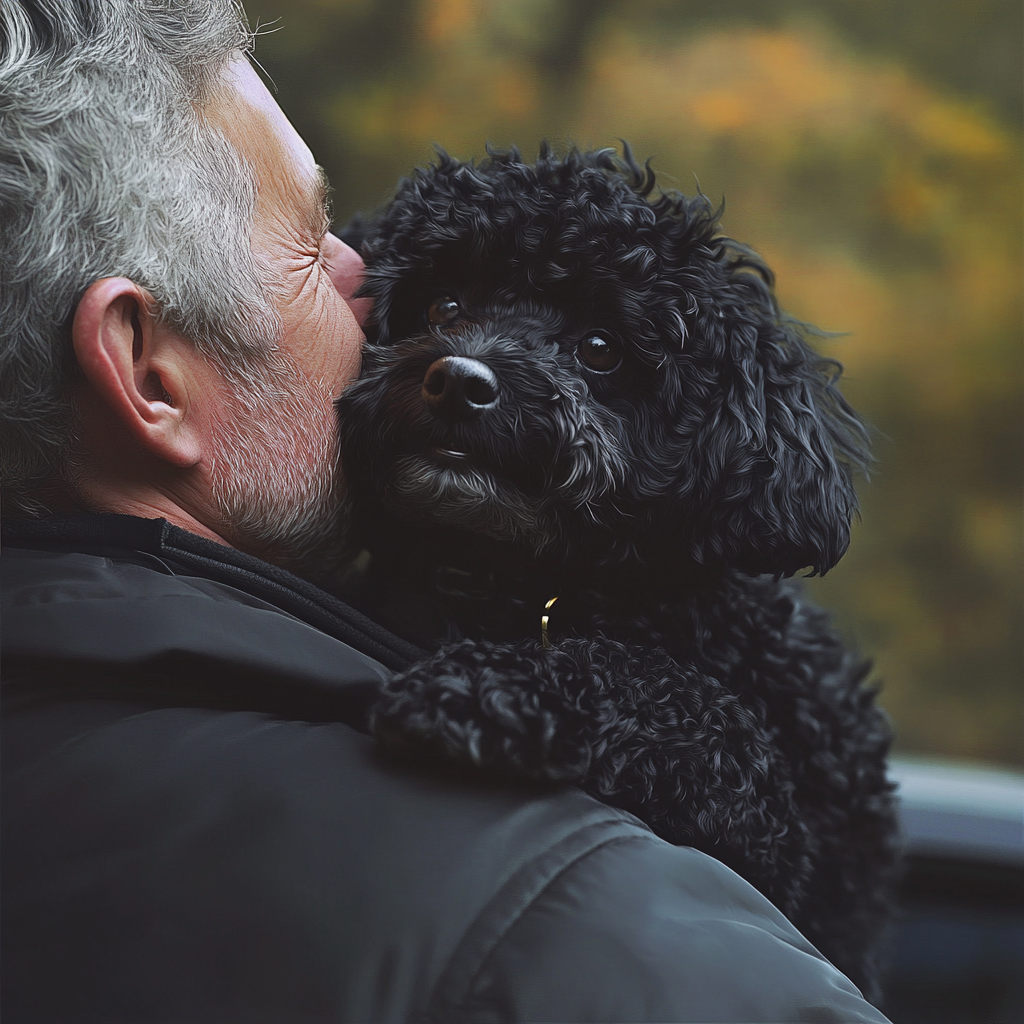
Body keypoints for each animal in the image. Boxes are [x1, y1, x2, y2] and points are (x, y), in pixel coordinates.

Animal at [335, 146, 897, 999]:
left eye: (600, 349)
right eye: (445, 305)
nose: (460, 380)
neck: (524, 582)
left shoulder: (781, 840)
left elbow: (685, 703)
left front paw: (489, 689)